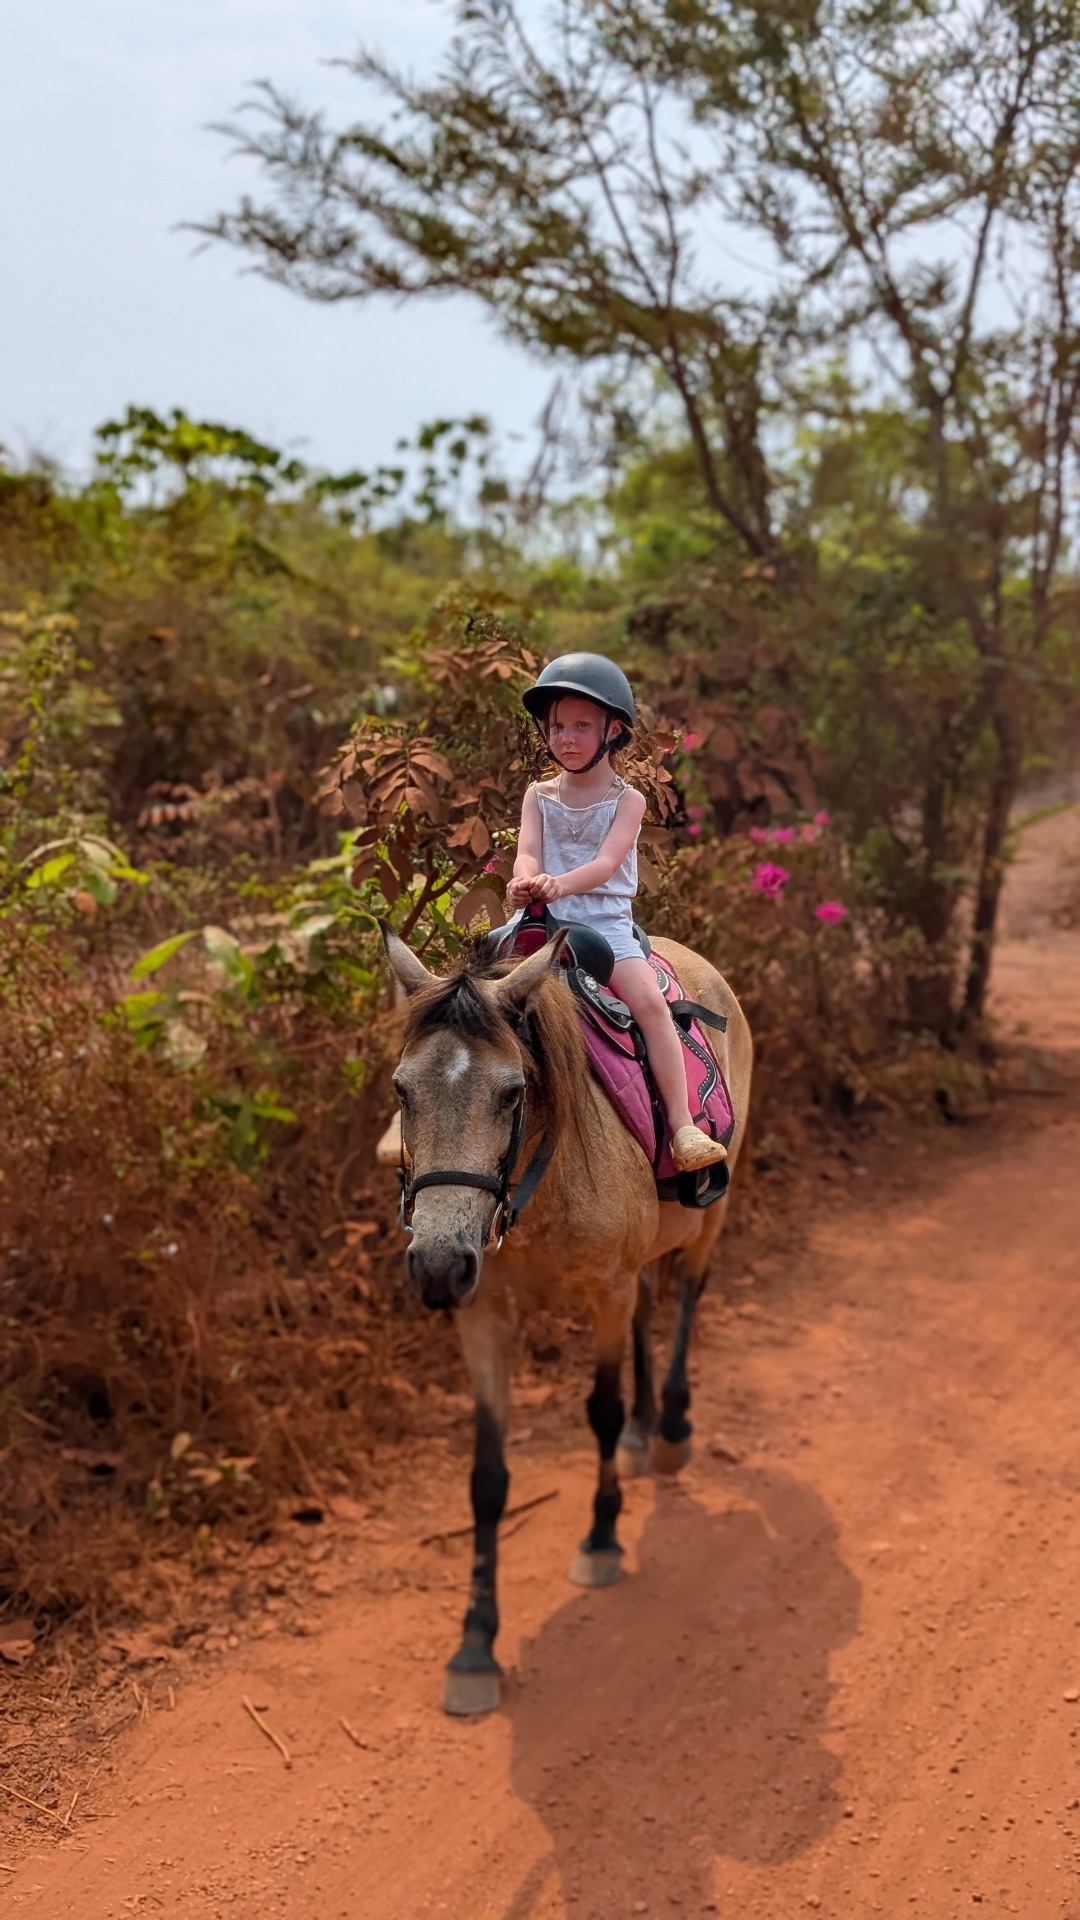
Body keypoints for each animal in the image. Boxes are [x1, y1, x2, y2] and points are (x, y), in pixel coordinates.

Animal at [382, 923, 753, 1715]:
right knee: (651, 1309)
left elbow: (601, 1412)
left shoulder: (604, 1291)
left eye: (511, 1091)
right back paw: (647, 1433)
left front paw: (602, 1539)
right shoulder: (484, 1314)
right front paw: (474, 1645)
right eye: (402, 1090)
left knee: (686, 1298)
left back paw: (670, 1428)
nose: (436, 1265)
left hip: (711, 1216)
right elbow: (487, 1475)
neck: (533, 1190)